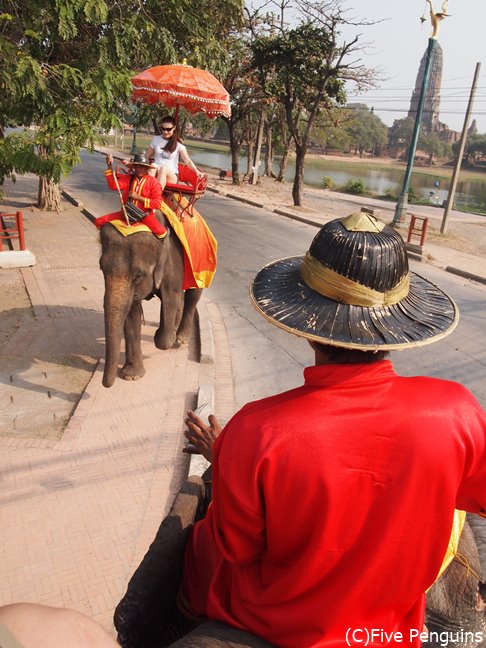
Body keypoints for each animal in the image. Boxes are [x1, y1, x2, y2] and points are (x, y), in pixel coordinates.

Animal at [99, 218, 202, 390]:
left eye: (138, 275)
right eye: (102, 269)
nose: (105, 384)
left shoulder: (172, 264)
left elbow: (170, 299)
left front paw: (163, 337)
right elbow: (132, 312)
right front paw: (132, 376)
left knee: (194, 294)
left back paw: (181, 338)